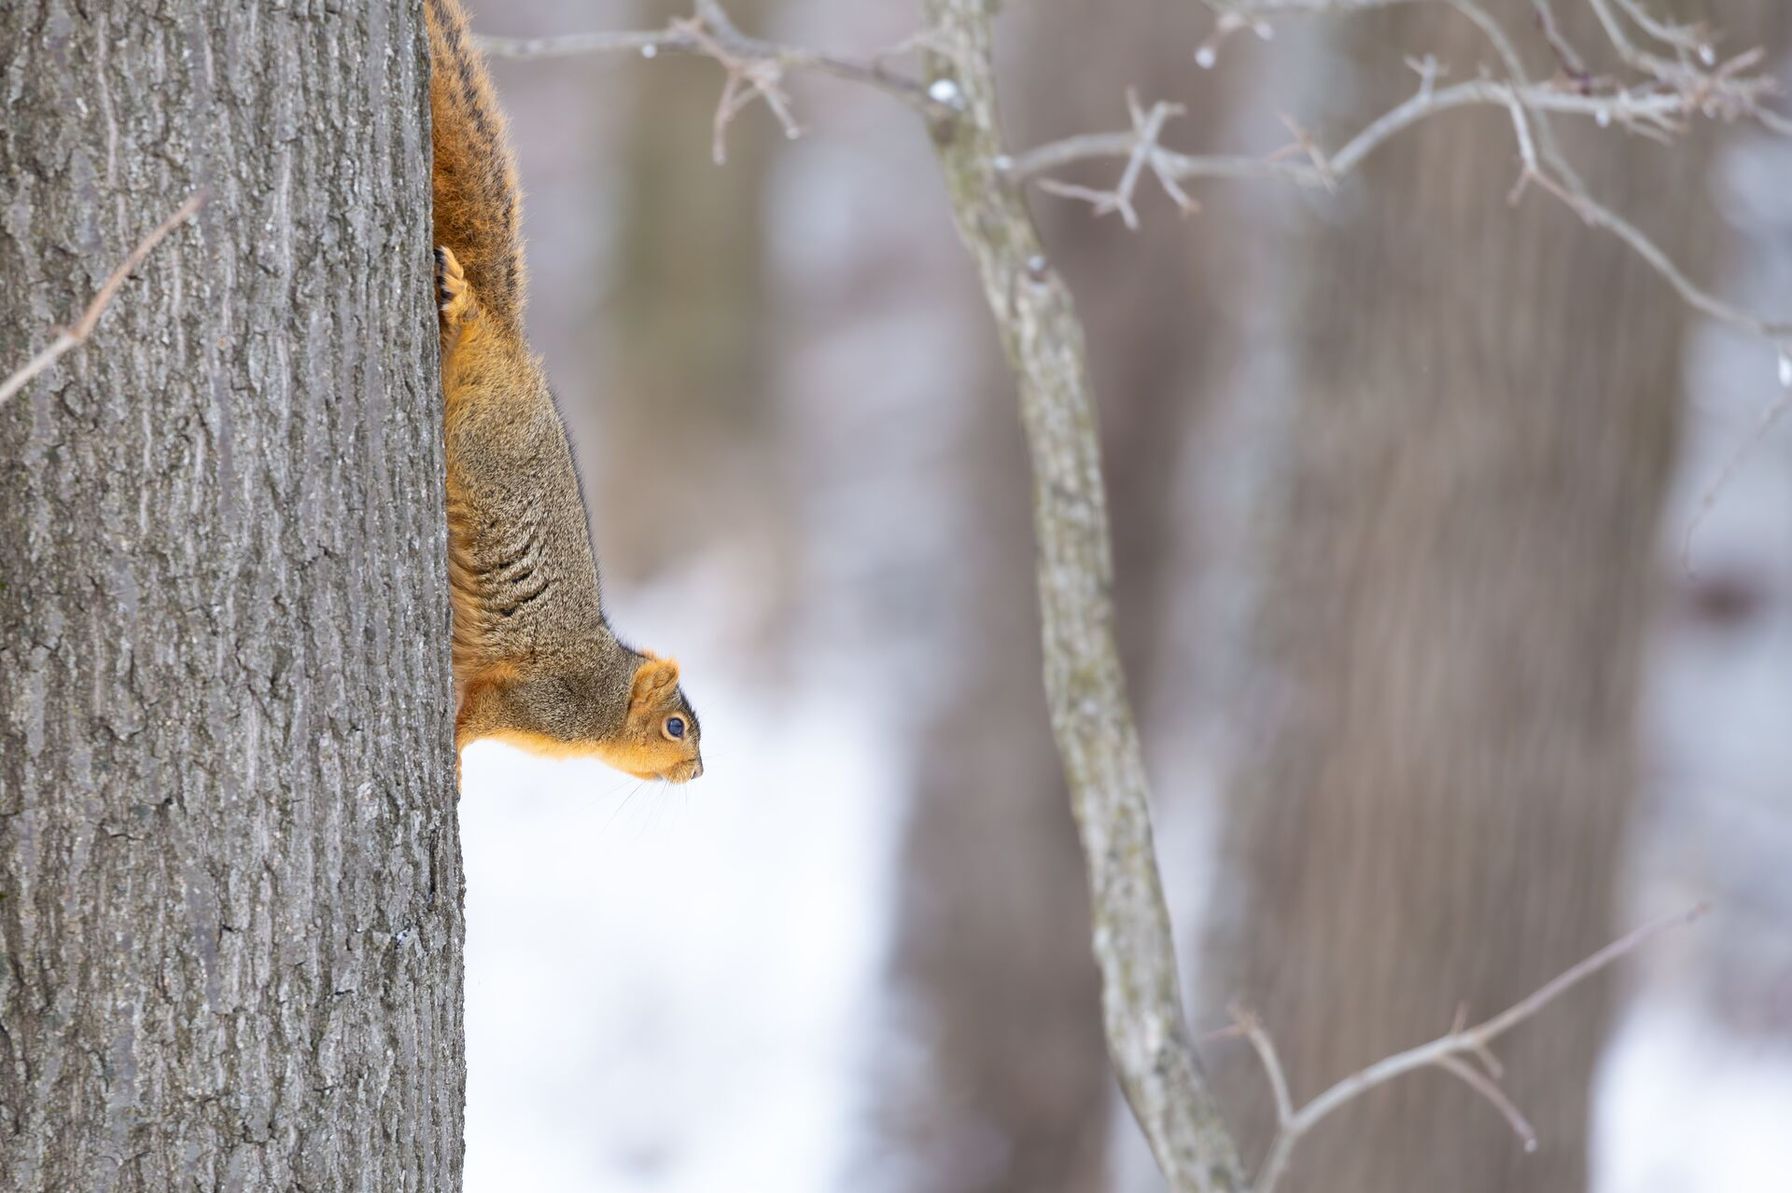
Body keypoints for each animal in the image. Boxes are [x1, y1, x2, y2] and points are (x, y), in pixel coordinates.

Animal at [426, 0, 703, 783]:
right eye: (676, 727)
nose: (700, 772)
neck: (604, 693)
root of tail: (517, 350)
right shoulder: (540, 700)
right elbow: (473, 718)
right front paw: (455, 766)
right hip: (480, 418)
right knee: (470, 327)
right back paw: (461, 297)